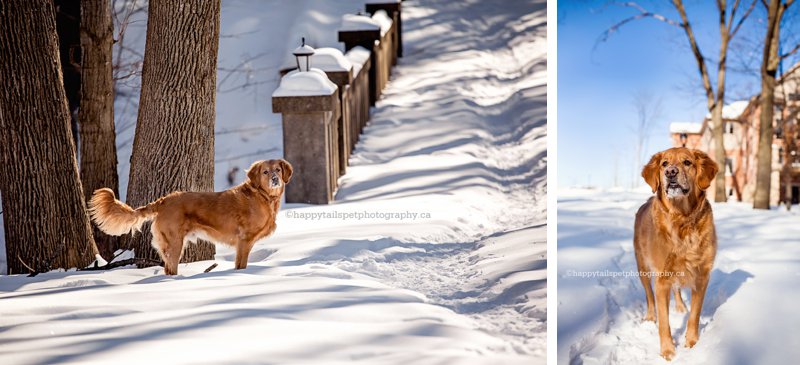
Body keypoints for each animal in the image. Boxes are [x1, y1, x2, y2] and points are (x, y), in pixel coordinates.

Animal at [88, 158, 294, 274]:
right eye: (265, 172)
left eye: (278, 169)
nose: (275, 179)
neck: (263, 196)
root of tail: (163, 200)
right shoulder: (244, 240)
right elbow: (241, 265)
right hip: (174, 243)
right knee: (170, 269)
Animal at [636, 147, 720, 358]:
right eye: (664, 164)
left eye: (687, 162)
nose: (670, 173)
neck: (682, 219)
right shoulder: (661, 279)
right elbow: (664, 322)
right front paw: (667, 351)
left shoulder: (702, 276)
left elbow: (695, 315)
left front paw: (691, 342)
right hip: (642, 267)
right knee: (649, 296)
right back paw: (650, 316)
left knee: (677, 289)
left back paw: (681, 306)